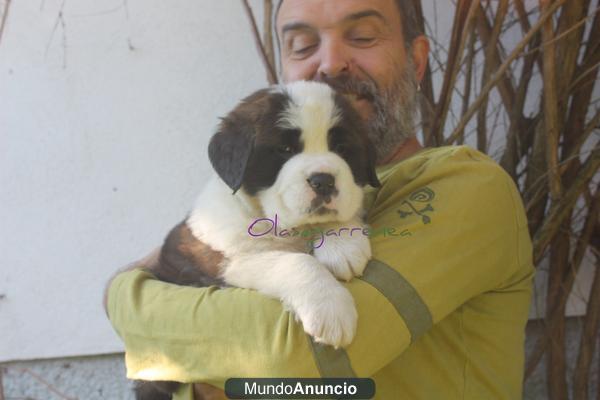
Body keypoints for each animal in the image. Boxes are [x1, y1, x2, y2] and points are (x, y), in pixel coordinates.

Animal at [135, 79, 380, 398]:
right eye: (284, 149)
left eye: (340, 148)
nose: (324, 181)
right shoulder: (224, 261)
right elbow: (294, 261)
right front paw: (330, 309)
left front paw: (342, 244)